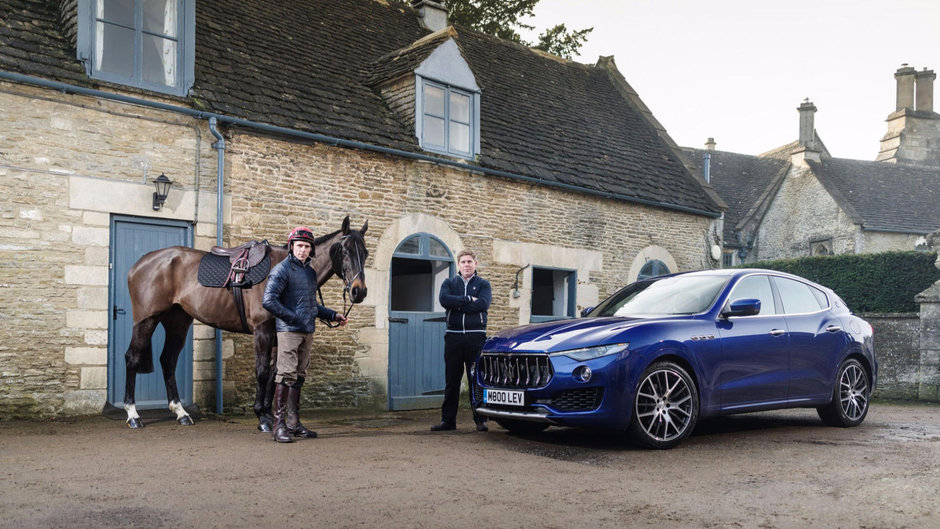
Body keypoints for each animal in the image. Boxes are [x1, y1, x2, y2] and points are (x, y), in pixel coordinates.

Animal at [124, 214, 370, 428]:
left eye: (365, 253)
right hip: (146, 321)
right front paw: (262, 417)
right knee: (132, 358)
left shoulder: (279, 337)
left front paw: (270, 415)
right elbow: (261, 373)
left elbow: (274, 375)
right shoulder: (262, 332)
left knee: (168, 361)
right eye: (344, 251)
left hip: (177, 322)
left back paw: (180, 412)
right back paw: (133, 414)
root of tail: (141, 263)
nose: (359, 292)